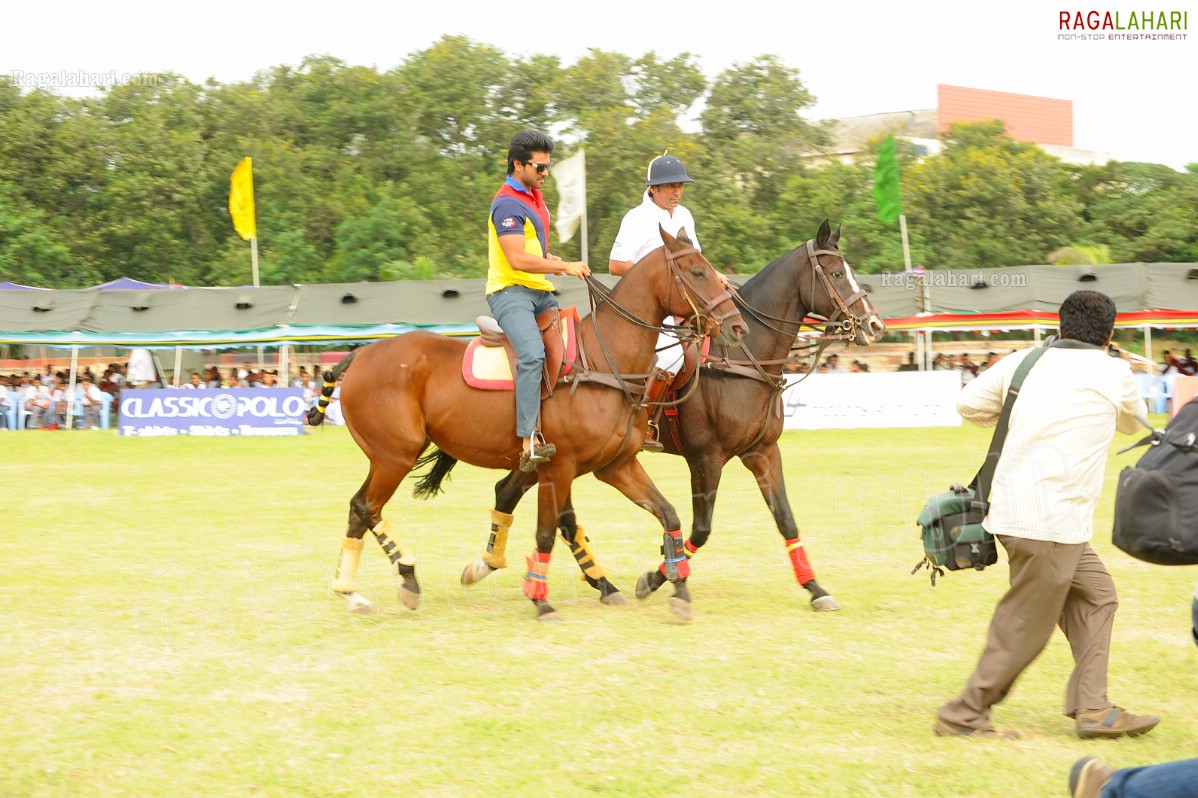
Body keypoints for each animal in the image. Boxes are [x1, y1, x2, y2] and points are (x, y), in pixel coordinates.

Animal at [311, 226, 737, 618]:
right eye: (698, 272)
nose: (737, 327)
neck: (603, 359)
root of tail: (361, 354)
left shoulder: (616, 464)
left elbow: (667, 513)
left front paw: (676, 589)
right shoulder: (559, 468)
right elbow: (547, 532)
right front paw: (541, 600)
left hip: (392, 456)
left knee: (361, 508)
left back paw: (353, 593)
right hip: (394, 454)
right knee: (365, 505)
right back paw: (405, 576)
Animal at [452, 220, 886, 611]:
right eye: (836, 273)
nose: (875, 325)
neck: (745, 359)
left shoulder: (763, 452)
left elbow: (786, 520)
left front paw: (816, 589)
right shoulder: (706, 457)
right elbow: (702, 527)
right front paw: (658, 577)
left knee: (512, 491)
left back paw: (497, 567)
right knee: (524, 496)